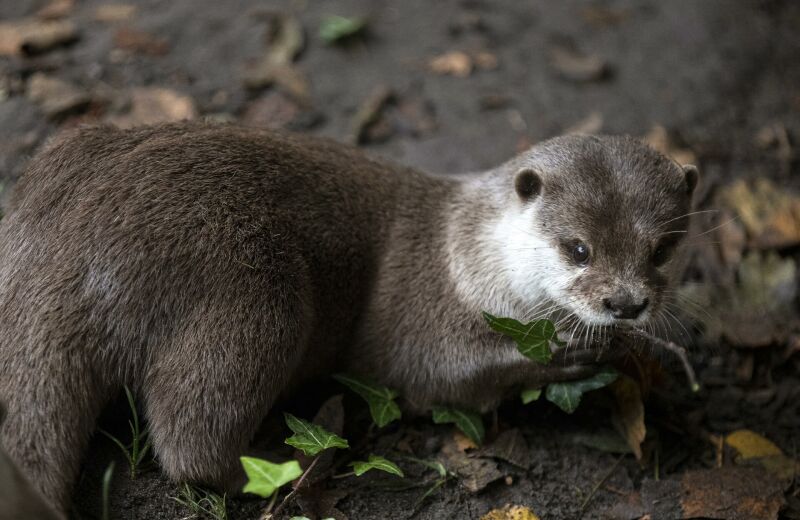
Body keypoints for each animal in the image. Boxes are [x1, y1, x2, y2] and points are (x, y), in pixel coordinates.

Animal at [0, 123, 696, 512]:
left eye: (662, 249)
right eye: (576, 249)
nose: (625, 302)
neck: (467, 253)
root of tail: (67, 244)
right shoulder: (420, 307)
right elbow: (434, 372)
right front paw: (570, 353)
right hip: (251, 287)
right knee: (190, 435)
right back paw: (296, 463)